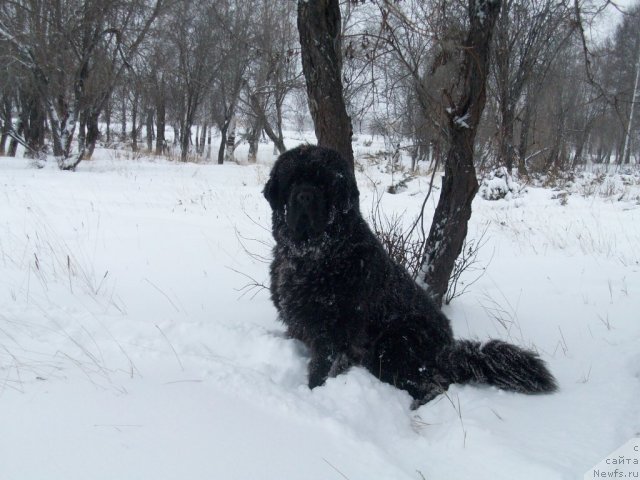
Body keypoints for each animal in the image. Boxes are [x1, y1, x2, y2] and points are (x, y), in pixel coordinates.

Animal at [264, 144, 556, 406]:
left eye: (325, 184)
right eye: (293, 180)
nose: (304, 196)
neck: (314, 256)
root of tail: (448, 350)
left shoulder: (333, 334)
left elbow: (321, 369)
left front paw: (314, 395)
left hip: (393, 343)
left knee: (432, 384)